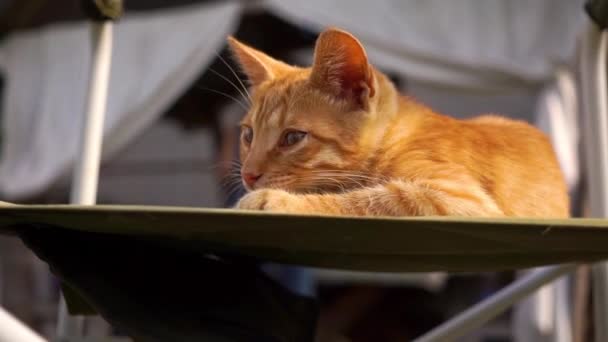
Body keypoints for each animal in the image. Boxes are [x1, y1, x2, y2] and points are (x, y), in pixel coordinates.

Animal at [228, 28, 568, 218]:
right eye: (248, 135)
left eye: (292, 137)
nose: (248, 175)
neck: (393, 140)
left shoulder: (463, 201)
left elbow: (372, 199)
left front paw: (276, 200)